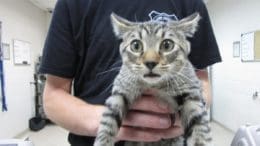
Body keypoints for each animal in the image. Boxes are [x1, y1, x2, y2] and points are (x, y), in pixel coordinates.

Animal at [94, 12, 212, 146]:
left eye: (167, 45)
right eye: (136, 45)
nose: (150, 63)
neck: (155, 85)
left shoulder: (192, 94)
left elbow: (200, 129)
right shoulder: (120, 92)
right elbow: (108, 122)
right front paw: (103, 141)